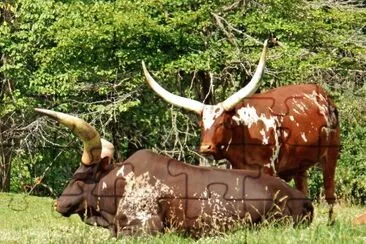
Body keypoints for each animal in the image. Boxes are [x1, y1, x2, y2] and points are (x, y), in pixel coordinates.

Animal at [141, 38, 340, 219]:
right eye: (201, 124)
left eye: (223, 122)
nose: (206, 148)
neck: (244, 131)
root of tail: (324, 95)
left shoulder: (268, 169)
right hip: (300, 165)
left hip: (331, 155)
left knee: (330, 193)